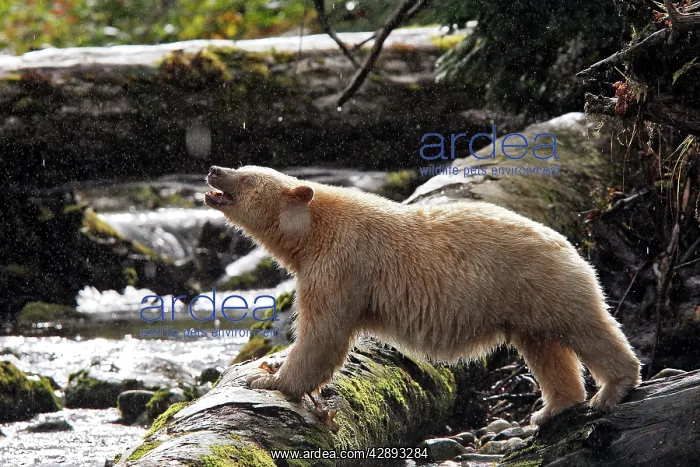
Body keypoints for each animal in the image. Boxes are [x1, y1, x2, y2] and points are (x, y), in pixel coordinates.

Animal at [204, 165, 641, 425]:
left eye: (246, 176)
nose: (213, 170)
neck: (313, 229)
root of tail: (569, 241)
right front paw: (268, 367)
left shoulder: (342, 264)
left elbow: (323, 333)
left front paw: (270, 379)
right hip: (526, 304)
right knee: (544, 348)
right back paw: (553, 408)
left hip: (540, 282)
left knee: (586, 328)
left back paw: (613, 388)